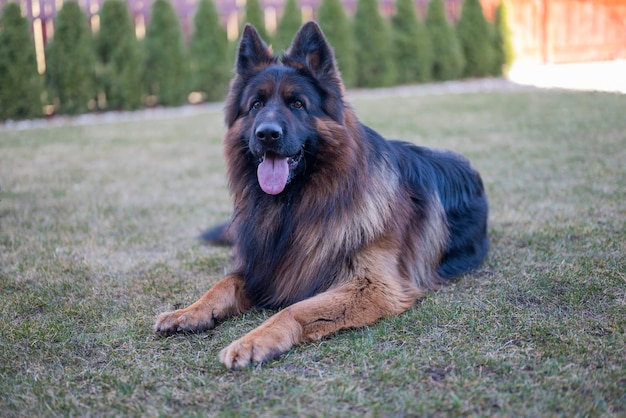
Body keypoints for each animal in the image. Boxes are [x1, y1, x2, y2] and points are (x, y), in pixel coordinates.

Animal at [155, 22, 488, 370]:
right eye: (256, 105)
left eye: (297, 104)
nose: (267, 134)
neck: (294, 205)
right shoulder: (264, 265)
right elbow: (222, 284)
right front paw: (189, 311)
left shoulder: (373, 287)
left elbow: (295, 308)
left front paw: (253, 340)